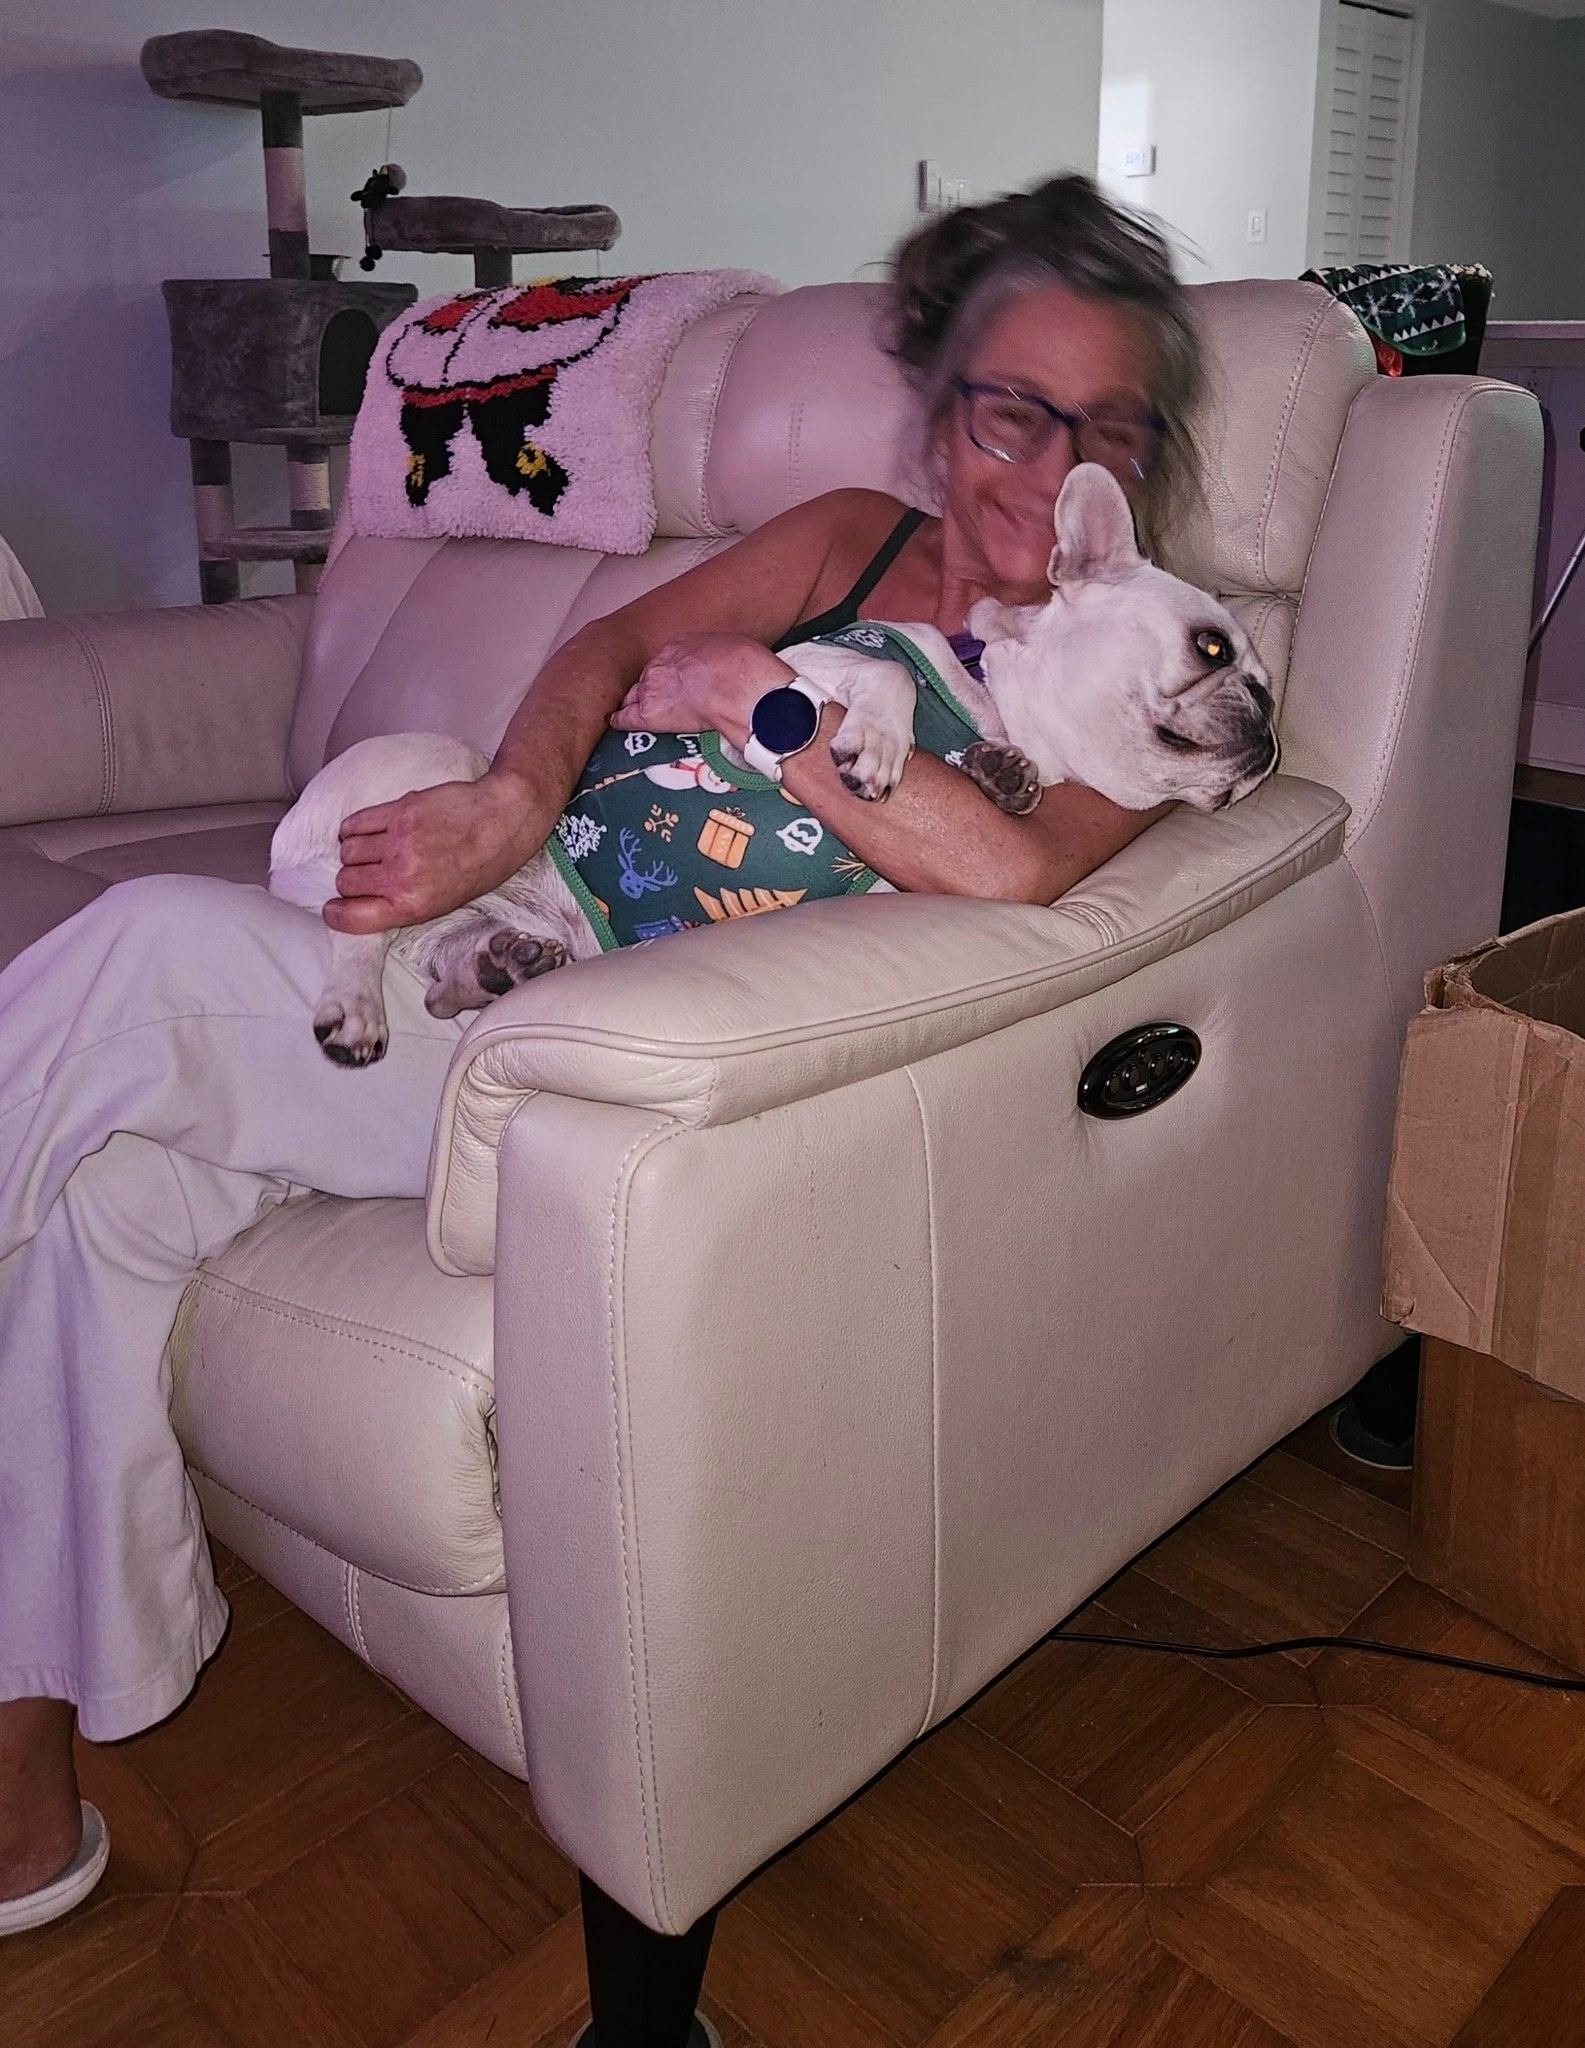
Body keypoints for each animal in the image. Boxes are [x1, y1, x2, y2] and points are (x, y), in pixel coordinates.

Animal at [270, 464, 1276, 1065]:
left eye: (1265, 684)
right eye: (1212, 648)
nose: (1269, 725)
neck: (989, 701)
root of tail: (282, 855)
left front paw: (1004, 778)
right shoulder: (794, 681)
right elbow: (881, 672)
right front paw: (876, 742)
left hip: (476, 918)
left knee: (435, 957)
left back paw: (491, 967)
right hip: (435, 779)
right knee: (358, 927)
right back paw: (358, 1007)